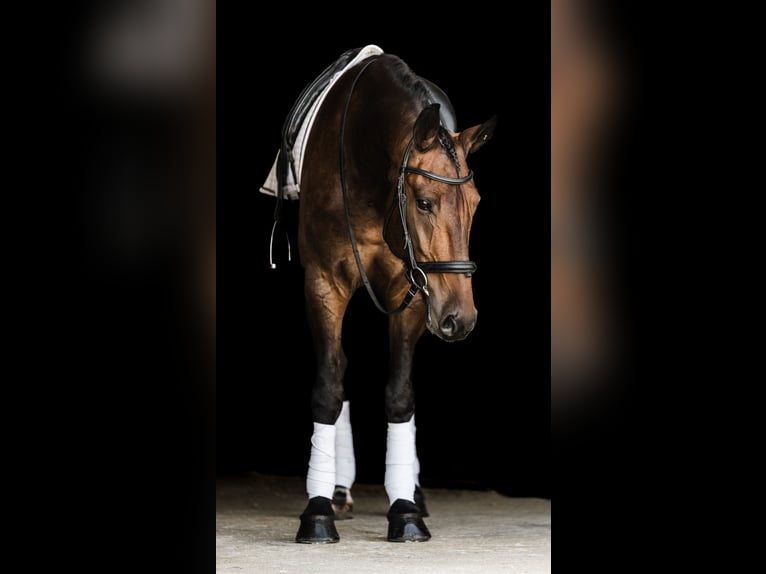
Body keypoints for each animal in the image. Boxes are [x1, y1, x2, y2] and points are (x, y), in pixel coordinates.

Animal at [263, 46, 496, 543]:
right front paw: (317, 510)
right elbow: (329, 387)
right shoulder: (324, 283)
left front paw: (405, 508)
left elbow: (399, 394)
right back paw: (337, 490)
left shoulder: (414, 289)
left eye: (475, 205)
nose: (461, 318)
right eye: (424, 202)